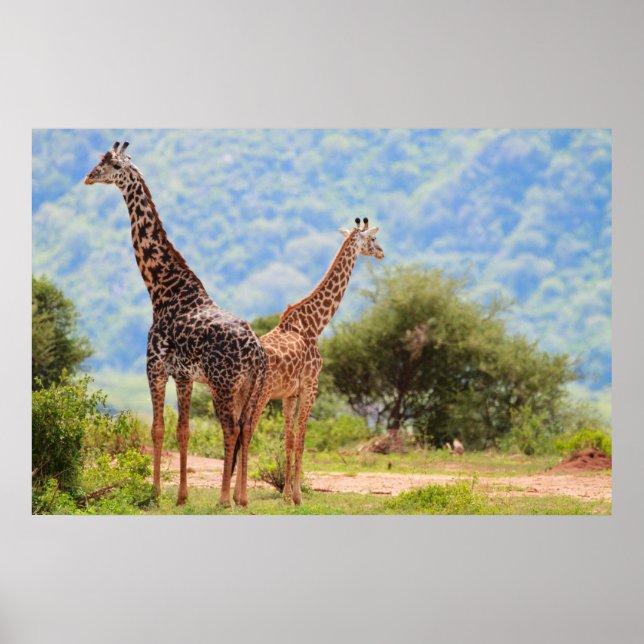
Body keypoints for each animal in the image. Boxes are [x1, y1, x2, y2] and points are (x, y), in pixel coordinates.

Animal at [85, 141, 266, 507]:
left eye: (112, 164)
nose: (88, 177)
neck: (160, 288)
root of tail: (256, 352)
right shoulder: (183, 376)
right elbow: (183, 430)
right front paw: (181, 496)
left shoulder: (154, 366)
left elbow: (158, 428)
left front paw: (154, 493)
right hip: (249, 387)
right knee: (246, 428)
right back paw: (241, 498)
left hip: (223, 384)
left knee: (231, 428)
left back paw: (223, 499)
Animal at [235, 218, 384, 505]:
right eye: (372, 239)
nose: (382, 252)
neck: (315, 325)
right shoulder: (310, 386)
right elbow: (303, 440)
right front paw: (297, 496)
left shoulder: (289, 394)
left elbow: (289, 440)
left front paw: (284, 495)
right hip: (260, 394)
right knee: (246, 430)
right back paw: (242, 497)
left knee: (232, 430)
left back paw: (229, 496)